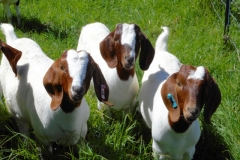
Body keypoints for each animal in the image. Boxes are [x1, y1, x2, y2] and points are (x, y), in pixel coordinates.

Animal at [139, 26, 221, 159]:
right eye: (179, 83)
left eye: (206, 88)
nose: (192, 111)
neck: (179, 131)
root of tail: (162, 51)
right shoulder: (158, 151)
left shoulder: (190, 151)